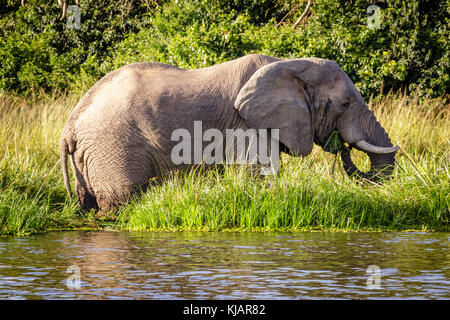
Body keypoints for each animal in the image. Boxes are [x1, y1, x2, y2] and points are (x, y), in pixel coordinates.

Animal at [59, 53, 398, 211]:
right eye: (343, 103)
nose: (342, 145)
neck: (288, 65)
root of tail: (70, 126)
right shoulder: (245, 124)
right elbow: (256, 173)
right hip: (112, 147)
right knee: (122, 202)